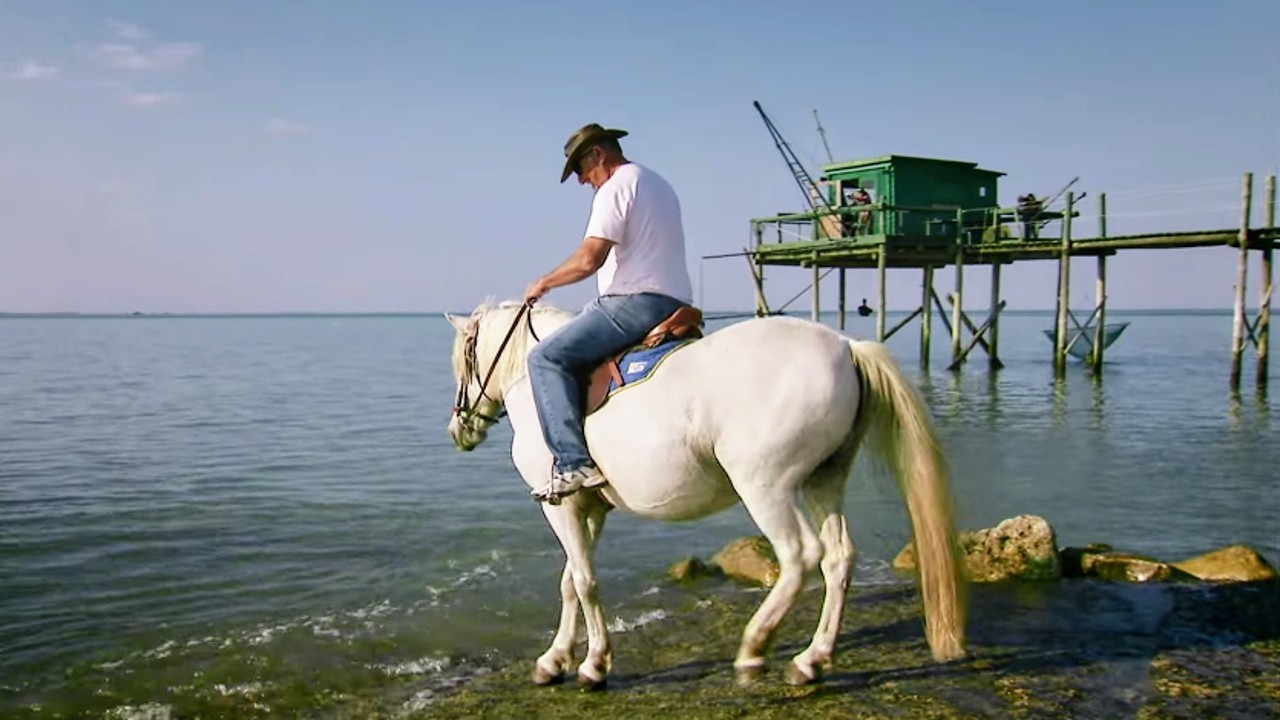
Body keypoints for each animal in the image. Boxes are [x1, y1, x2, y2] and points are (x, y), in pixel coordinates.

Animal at [445, 299, 962, 686]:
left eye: (462, 363)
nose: (459, 429)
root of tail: (844, 344)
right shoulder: (591, 508)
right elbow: (570, 581)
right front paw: (555, 660)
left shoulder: (564, 506)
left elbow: (586, 582)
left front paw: (593, 664)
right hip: (824, 479)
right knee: (838, 559)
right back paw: (811, 659)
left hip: (764, 486)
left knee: (799, 555)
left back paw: (754, 648)